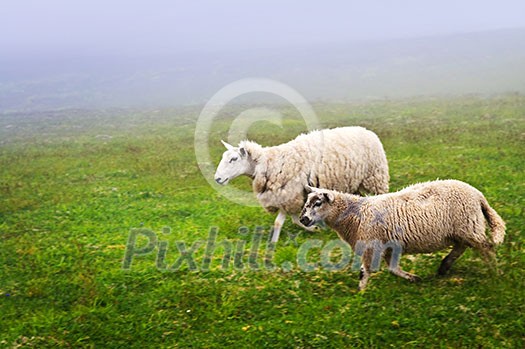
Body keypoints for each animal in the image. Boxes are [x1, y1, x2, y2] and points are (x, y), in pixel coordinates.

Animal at [213, 125, 388, 242]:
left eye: (233, 159)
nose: (217, 179)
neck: (269, 164)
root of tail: (368, 131)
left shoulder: (289, 195)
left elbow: (279, 222)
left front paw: (273, 244)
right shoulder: (287, 198)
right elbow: (293, 220)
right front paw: (313, 229)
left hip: (374, 178)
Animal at [300, 178, 506, 290]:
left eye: (318, 203)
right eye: (307, 202)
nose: (303, 219)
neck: (355, 213)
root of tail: (478, 195)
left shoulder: (371, 244)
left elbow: (364, 271)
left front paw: (361, 293)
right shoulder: (389, 246)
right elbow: (393, 268)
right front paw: (413, 278)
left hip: (468, 226)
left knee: (486, 248)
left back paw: (495, 274)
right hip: (461, 230)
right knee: (462, 247)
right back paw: (443, 267)